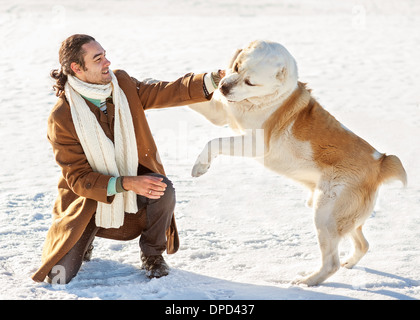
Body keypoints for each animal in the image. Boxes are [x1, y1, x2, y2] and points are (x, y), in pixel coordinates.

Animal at [190, 39, 406, 284]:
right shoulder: (219, 113)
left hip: (325, 215)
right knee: (363, 244)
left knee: (332, 263)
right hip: (341, 218)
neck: (268, 99)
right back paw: (349, 264)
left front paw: (200, 166)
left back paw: (306, 283)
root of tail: (379, 163)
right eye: (236, 67)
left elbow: (214, 142)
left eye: (250, 82)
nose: (224, 87)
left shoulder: (255, 143)